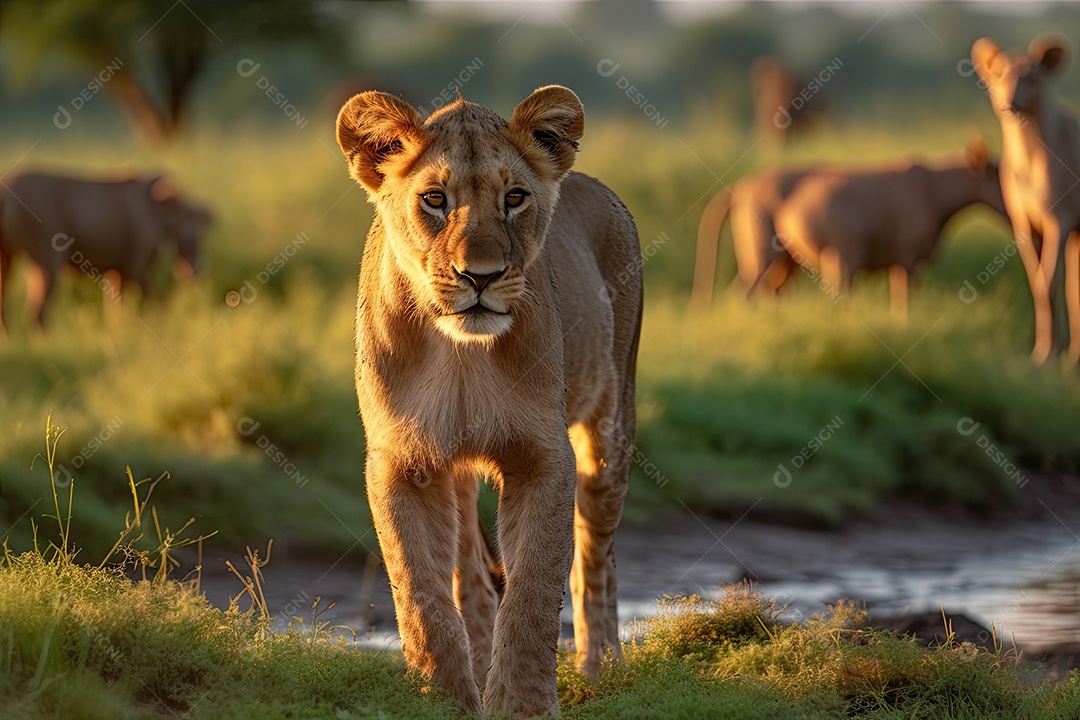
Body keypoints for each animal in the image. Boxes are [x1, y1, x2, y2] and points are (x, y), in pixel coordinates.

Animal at [335, 86, 642, 717]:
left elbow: (532, 589)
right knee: (471, 574)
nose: (480, 276)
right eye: (434, 199)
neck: (461, 355)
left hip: (610, 430)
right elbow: (420, 591)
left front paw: (522, 706)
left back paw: (601, 667)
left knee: (595, 557)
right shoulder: (401, 461)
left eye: (515, 198)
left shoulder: (544, 455)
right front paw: (443, 697)